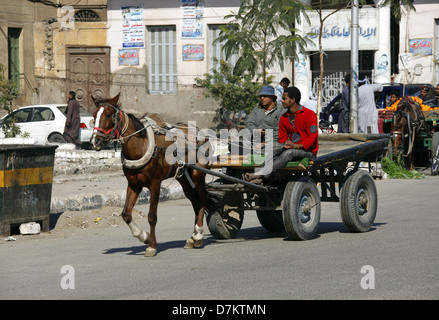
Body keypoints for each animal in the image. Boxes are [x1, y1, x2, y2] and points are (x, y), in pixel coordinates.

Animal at [91, 94, 211, 256]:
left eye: (109, 114)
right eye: (94, 115)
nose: (95, 141)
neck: (141, 146)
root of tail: (199, 131)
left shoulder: (155, 183)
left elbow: (152, 216)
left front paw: (152, 246)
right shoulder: (134, 185)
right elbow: (126, 214)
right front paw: (144, 236)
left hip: (198, 173)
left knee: (203, 198)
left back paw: (198, 234)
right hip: (183, 177)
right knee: (195, 201)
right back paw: (192, 239)